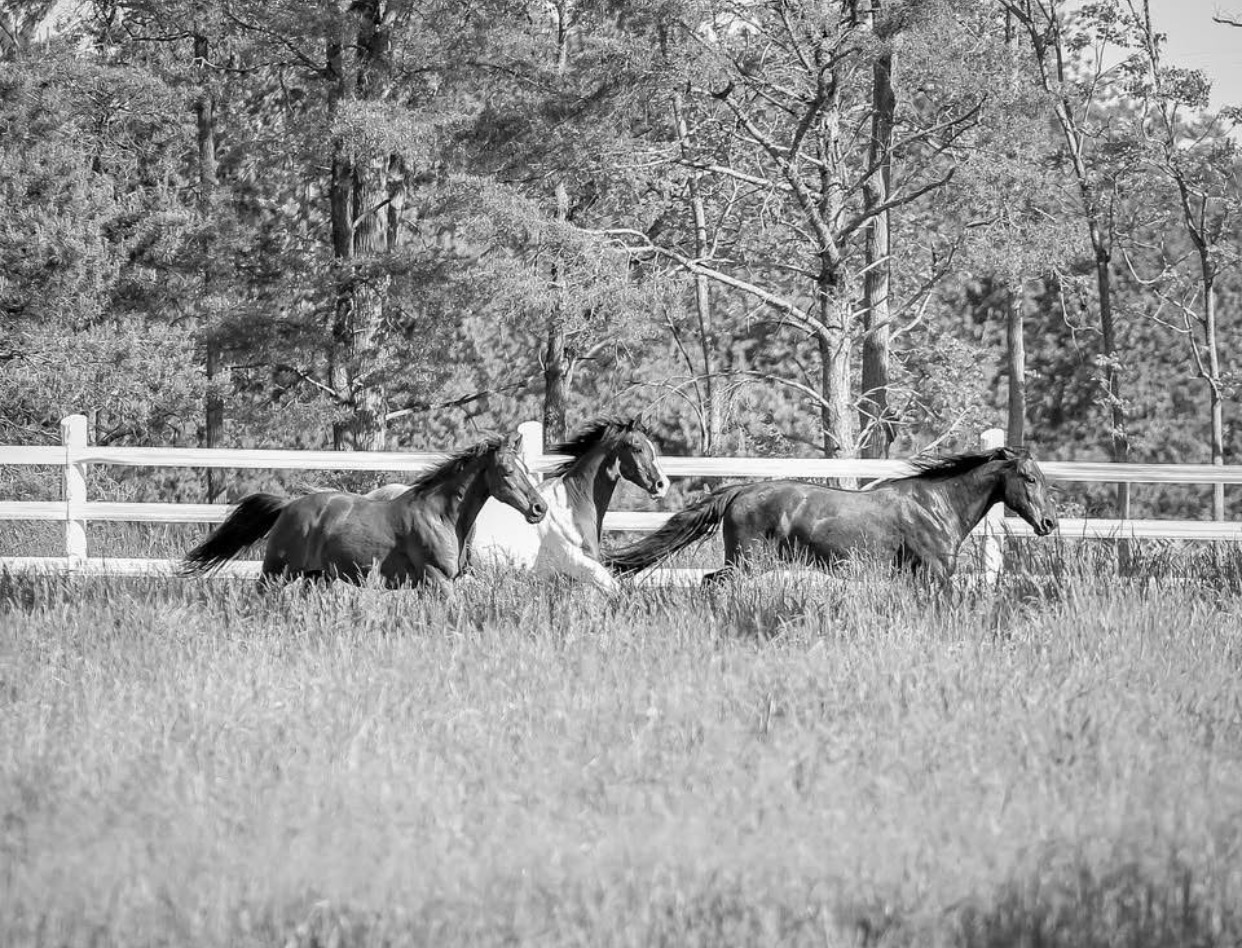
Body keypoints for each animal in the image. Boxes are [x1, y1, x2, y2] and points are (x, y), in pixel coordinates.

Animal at [181, 434, 546, 589]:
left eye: (526, 468)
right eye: (507, 471)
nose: (539, 508)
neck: (440, 517)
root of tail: (288, 505)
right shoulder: (437, 579)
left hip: (315, 577)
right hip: (276, 572)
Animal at [603, 446, 1058, 584]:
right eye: (1029, 478)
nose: (1049, 524)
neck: (936, 504)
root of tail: (743, 489)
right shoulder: (935, 572)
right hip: (746, 560)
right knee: (713, 582)